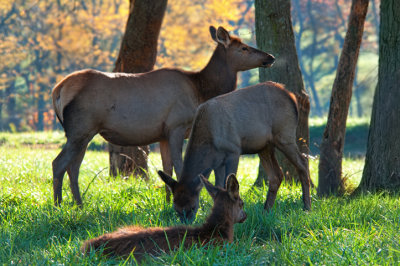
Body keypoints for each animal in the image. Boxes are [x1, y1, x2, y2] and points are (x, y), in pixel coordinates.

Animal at [50, 26, 276, 205]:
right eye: (244, 48)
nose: (270, 57)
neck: (200, 91)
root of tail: (58, 90)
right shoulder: (176, 126)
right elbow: (179, 167)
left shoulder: (163, 134)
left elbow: (167, 169)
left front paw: (167, 201)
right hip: (81, 128)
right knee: (59, 163)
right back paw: (58, 205)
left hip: (83, 132)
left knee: (73, 167)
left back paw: (78, 204)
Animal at [159, 81, 312, 222]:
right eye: (176, 209)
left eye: (192, 207)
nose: (187, 224)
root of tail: (292, 97)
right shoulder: (218, 162)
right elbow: (217, 187)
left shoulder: (233, 150)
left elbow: (227, 184)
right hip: (264, 145)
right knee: (276, 175)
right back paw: (266, 211)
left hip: (284, 134)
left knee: (303, 163)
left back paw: (307, 207)